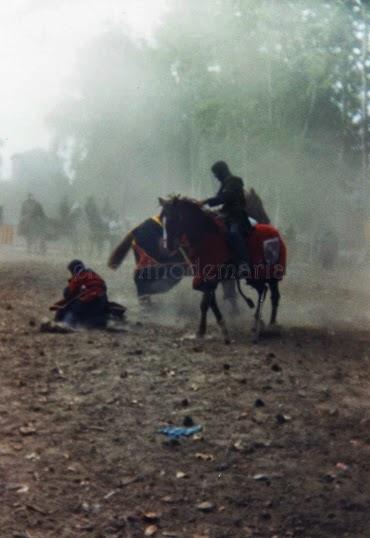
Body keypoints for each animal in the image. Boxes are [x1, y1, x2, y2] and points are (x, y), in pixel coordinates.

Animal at [159, 195, 286, 342]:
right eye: (163, 219)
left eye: (176, 217)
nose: (169, 246)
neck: (205, 236)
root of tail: (276, 233)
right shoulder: (205, 277)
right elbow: (210, 300)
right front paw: (220, 327)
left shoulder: (212, 278)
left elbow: (205, 302)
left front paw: (201, 331)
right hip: (254, 277)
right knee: (263, 290)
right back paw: (258, 322)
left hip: (272, 274)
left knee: (274, 296)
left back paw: (272, 325)